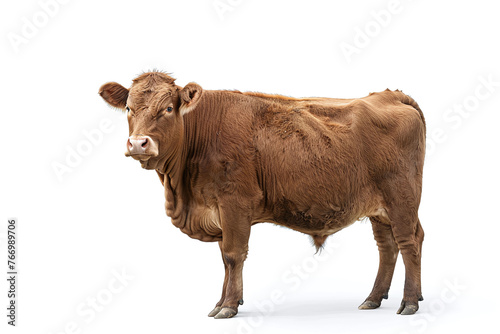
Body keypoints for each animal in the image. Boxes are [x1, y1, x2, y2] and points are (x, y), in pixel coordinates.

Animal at [98, 70, 426, 318]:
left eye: (168, 108)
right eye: (128, 108)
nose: (138, 143)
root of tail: (389, 94)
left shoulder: (234, 202)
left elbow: (233, 255)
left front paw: (228, 306)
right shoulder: (219, 212)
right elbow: (224, 258)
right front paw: (221, 301)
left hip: (401, 197)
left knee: (408, 241)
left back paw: (409, 302)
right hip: (380, 209)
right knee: (388, 246)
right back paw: (375, 298)